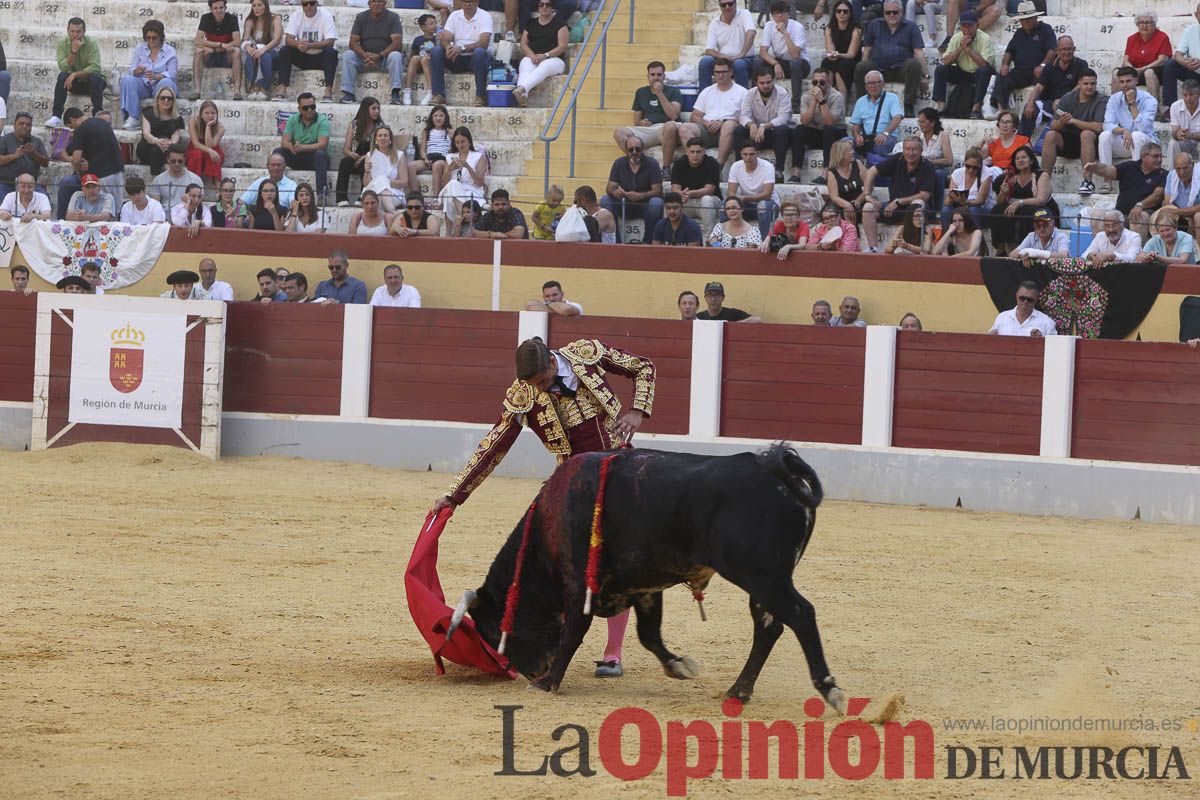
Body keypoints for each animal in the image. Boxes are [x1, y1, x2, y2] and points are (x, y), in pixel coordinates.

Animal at [446, 443, 849, 714]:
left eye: (493, 632)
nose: (532, 672)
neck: (547, 525)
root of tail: (776, 465)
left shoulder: (579, 584)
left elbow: (574, 631)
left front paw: (548, 684)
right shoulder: (644, 585)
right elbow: (648, 634)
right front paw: (679, 666)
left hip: (762, 575)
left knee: (800, 615)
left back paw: (830, 690)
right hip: (765, 580)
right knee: (768, 627)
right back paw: (738, 691)